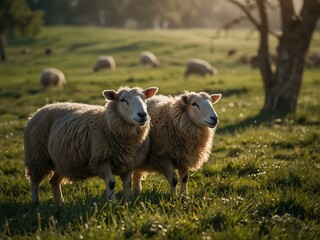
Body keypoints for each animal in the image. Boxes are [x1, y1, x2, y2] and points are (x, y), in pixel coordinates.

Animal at [24, 85, 159, 202]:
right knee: (34, 181)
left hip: (62, 162)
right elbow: (111, 183)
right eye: (123, 100)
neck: (107, 124)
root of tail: (41, 109)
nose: (142, 115)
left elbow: (127, 184)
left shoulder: (128, 162)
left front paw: (126, 201)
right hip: (37, 156)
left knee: (53, 181)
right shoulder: (101, 159)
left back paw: (59, 202)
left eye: (144, 99)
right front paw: (113, 202)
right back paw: (35, 202)